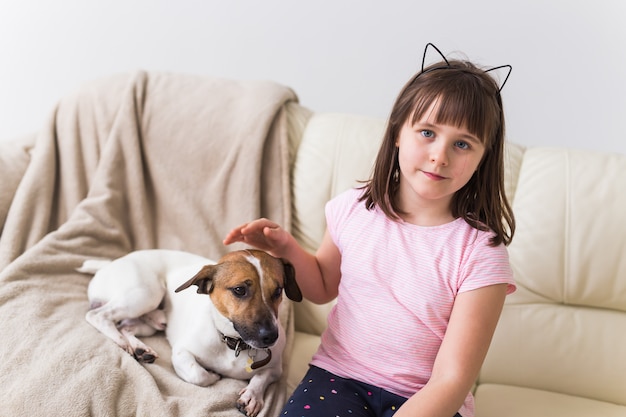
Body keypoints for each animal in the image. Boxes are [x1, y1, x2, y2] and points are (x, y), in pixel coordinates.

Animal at [79, 249, 302, 414]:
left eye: (278, 291)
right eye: (239, 290)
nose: (271, 337)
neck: (234, 343)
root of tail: (108, 264)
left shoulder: (276, 369)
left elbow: (261, 377)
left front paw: (252, 395)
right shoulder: (181, 352)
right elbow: (198, 374)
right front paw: (213, 376)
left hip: (146, 319)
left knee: (127, 325)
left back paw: (142, 346)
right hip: (146, 293)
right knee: (97, 316)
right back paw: (122, 341)